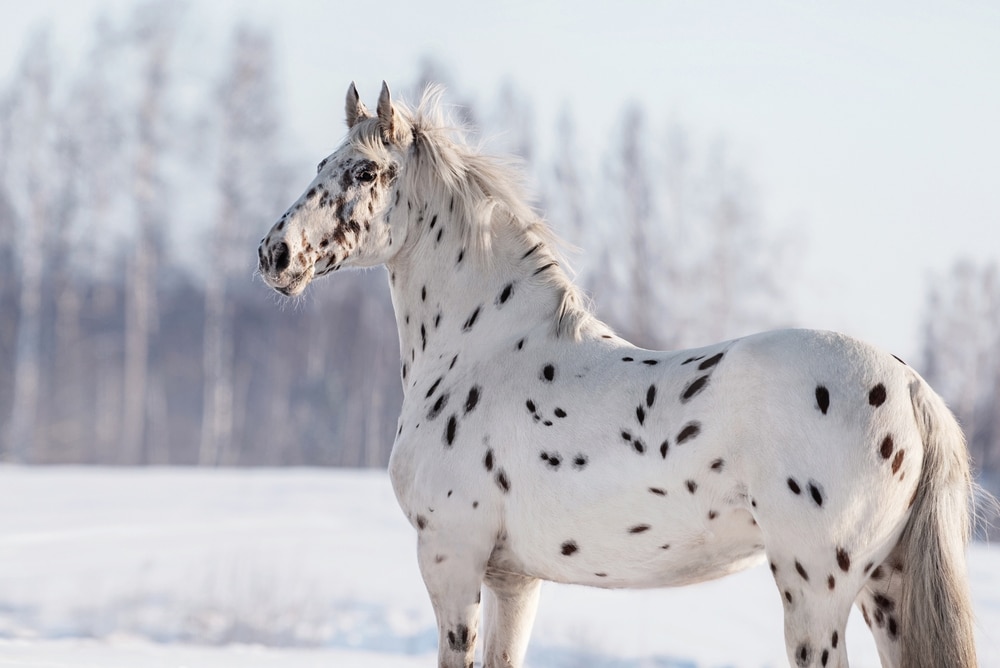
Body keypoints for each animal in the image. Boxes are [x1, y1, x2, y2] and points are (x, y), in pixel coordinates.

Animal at [256, 83, 976, 668]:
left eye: (364, 170)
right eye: (321, 165)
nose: (274, 253)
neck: (482, 350)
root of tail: (911, 391)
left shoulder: (450, 558)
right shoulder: (513, 579)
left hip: (817, 589)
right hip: (885, 588)